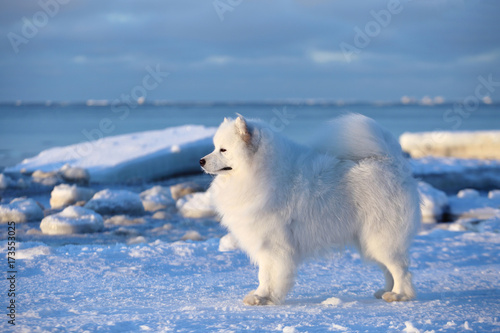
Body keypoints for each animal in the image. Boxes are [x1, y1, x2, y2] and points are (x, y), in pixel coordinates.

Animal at [201, 113, 420, 304]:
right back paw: (386, 291)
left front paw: (261, 297)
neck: (261, 172)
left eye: (223, 150)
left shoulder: (272, 243)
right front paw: (265, 296)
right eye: (214, 147)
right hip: (369, 240)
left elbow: (266, 274)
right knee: (388, 269)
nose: (201, 161)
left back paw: (399, 295)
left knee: (401, 269)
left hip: (380, 237)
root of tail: (391, 161)